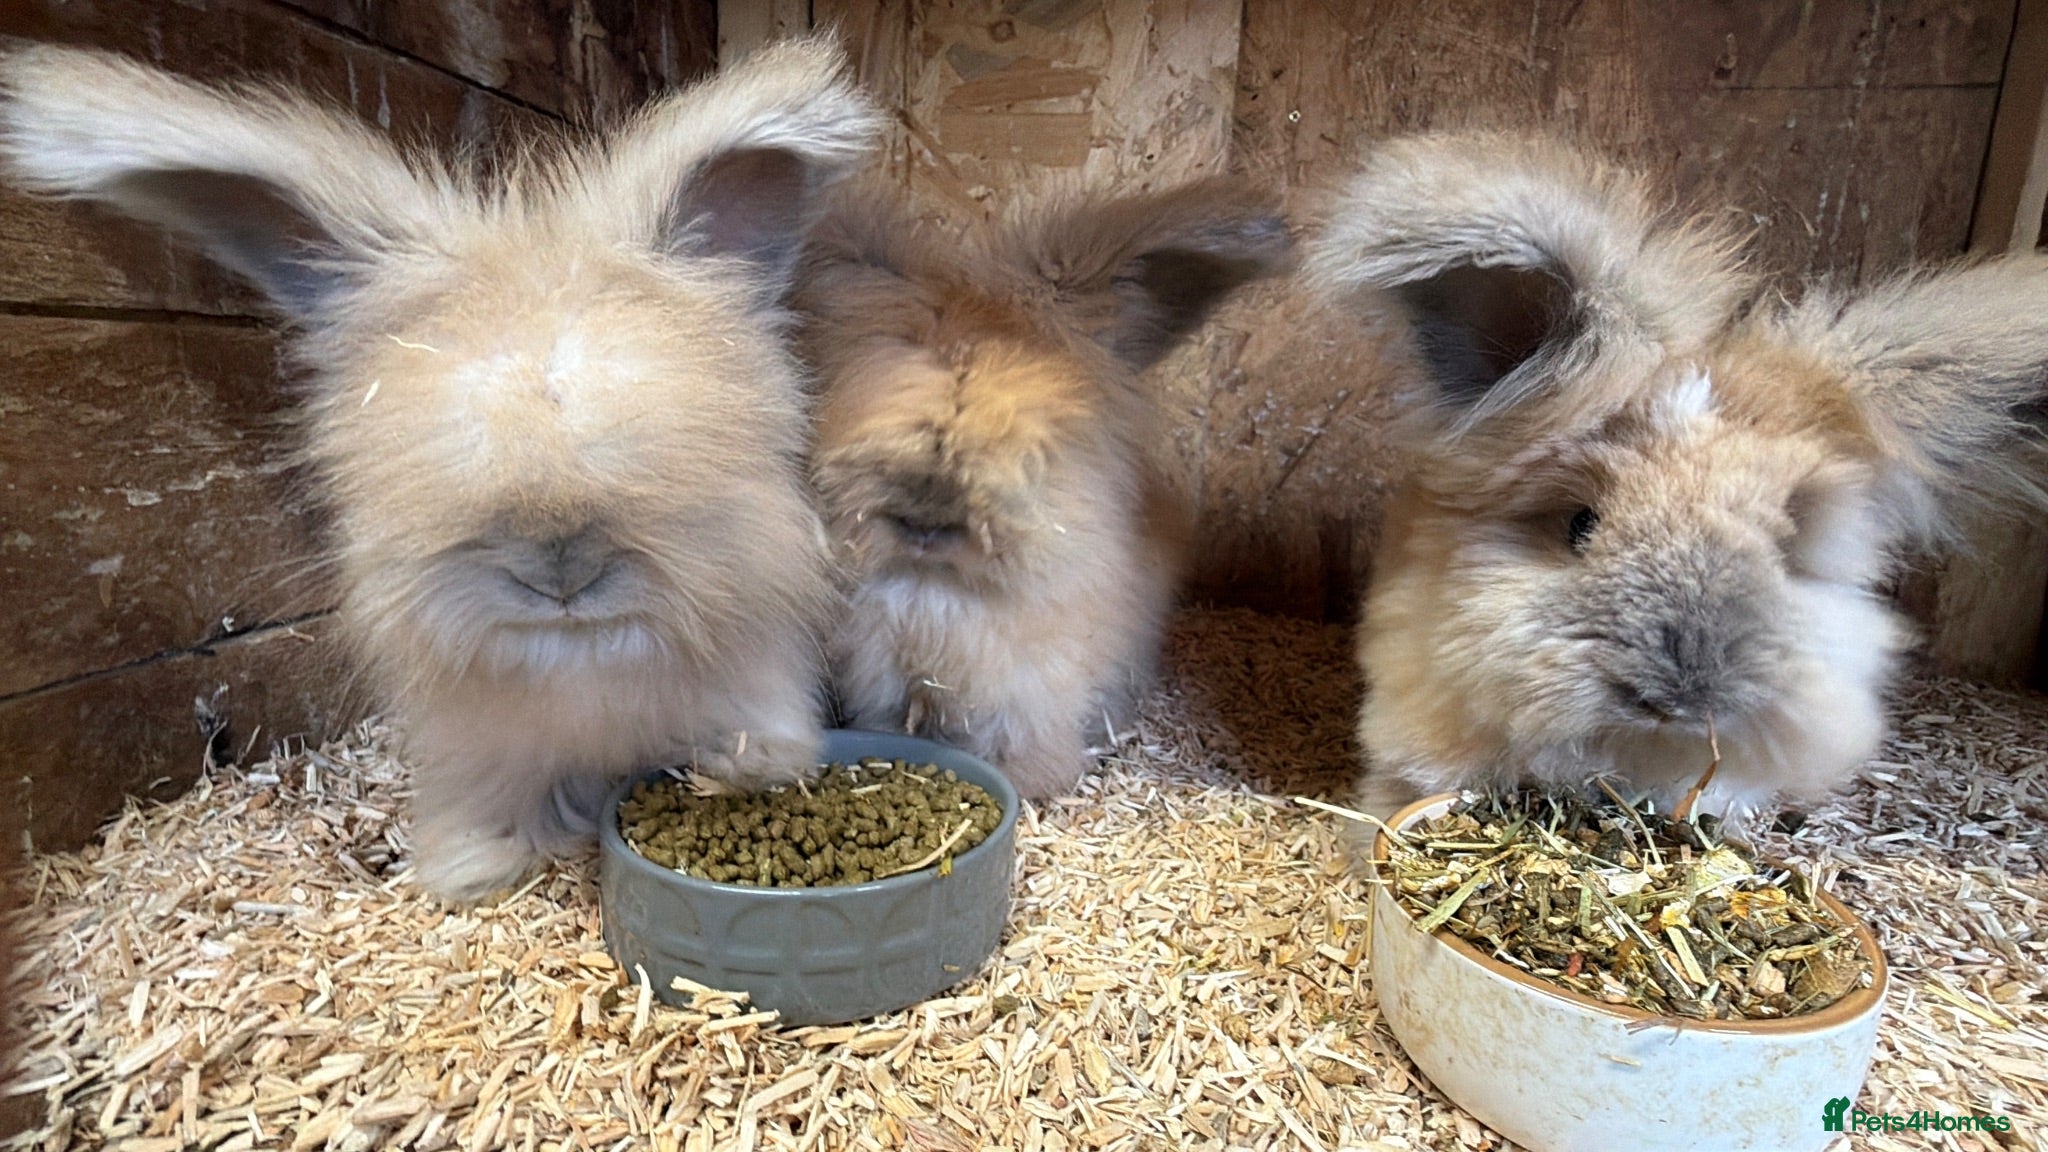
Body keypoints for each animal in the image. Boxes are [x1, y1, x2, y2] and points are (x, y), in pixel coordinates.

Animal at [0, 37, 884, 902]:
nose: (558, 577)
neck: (582, 657)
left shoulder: (756, 677)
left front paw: (748, 769)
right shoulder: (486, 749)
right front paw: (473, 867)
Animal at [795, 179, 1290, 797]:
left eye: (1043, 432)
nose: (928, 517)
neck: (935, 585)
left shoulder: (1032, 688)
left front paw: (1034, 784)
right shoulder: (882, 679)